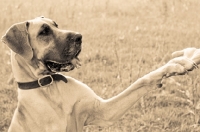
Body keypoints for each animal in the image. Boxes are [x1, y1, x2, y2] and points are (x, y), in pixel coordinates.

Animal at [1, 16, 197, 132]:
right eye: (44, 32)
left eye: (56, 25)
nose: (79, 37)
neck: (50, 87)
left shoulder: (104, 112)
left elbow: (142, 81)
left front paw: (177, 63)